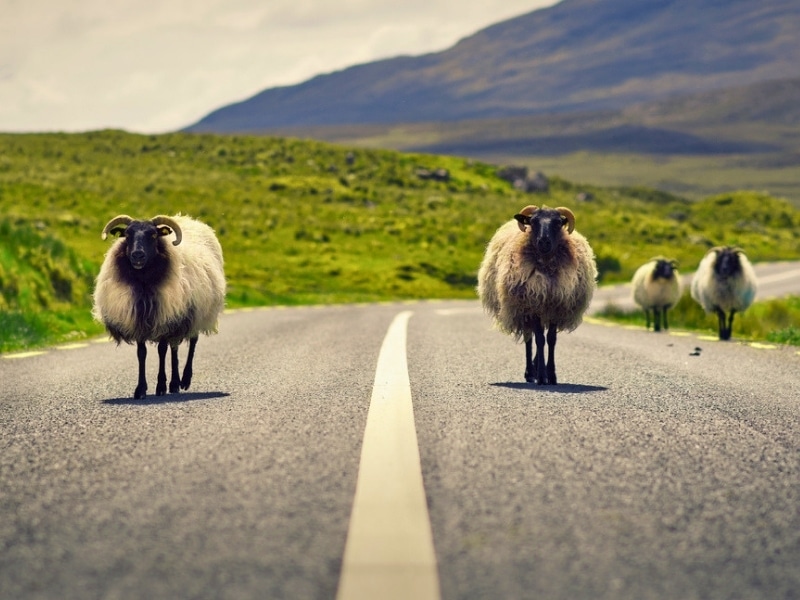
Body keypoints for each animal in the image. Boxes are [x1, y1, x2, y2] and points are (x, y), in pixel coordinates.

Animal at [92, 214, 226, 399]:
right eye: (127, 234)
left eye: (154, 235)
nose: (137, 255)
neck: (144, 283)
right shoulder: (140, 320)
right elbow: (142, 354)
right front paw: (140, 389)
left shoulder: (164, 317)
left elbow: (162, 351)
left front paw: (161, 386)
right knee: (175, 348)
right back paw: (175, 383)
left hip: (197, 313)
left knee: (191, 343)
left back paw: (184, 380)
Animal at [477, 205, 597, 385]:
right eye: (533, 222)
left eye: (558, 223)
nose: (544, 241)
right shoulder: (532, 306)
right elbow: (539, 340)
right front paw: (541, 376)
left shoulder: (555, 307)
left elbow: (551, 340)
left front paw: (551, 375)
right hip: (524, 311)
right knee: (530, 338)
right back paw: (530, 372)